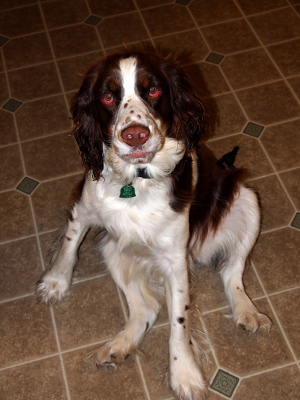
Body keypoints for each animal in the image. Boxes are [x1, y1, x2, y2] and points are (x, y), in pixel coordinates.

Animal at [35, 52, 272, 400]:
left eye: (153, 90)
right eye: (108, 96)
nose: (135, 135)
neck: (135, 181)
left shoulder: (175, 260)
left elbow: (179, 320)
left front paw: (184, 373)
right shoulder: (84, 207)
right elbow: (68, 245)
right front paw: (55, 283)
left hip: (247, 202)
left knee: (232, 273)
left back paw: (248, 312)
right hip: (112, 246)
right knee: (145, 309)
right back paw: (118, 346)